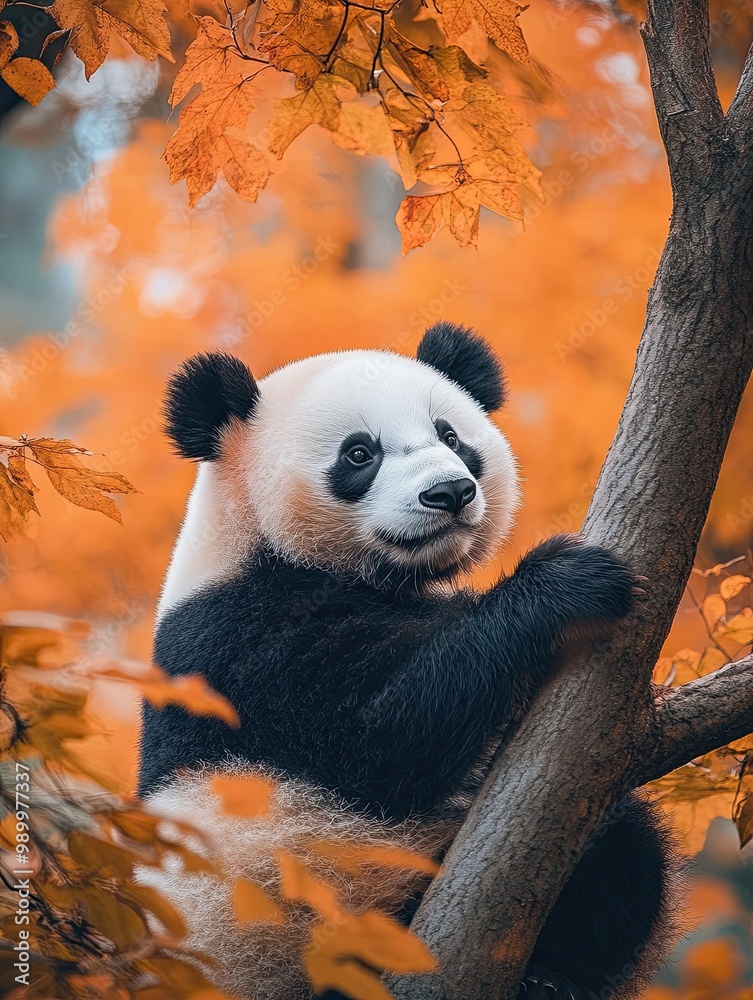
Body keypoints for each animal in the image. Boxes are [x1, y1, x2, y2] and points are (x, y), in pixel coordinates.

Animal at [138, 323, 675, 1000]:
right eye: (358, 454)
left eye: (450, 435)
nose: (450, 492)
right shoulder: (233, 642)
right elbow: (382, 735)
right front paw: (561, 582)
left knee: (622, 854)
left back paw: (551, 977)